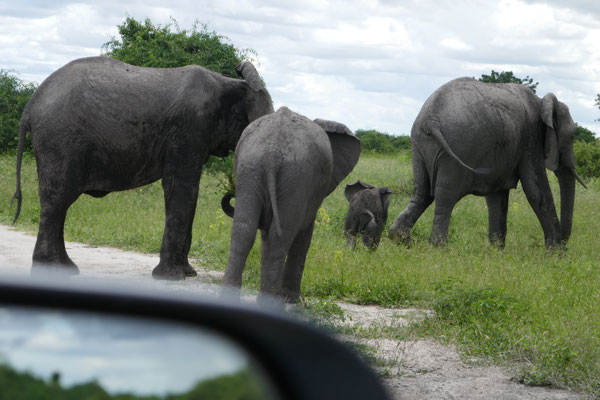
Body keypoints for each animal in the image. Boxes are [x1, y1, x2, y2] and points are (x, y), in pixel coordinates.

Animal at [12, 56, 274, 280]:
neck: (228, 83)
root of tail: (30, 106)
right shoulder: (189, 128)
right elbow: (181, 187)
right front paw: (173, 277)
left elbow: (190, 192)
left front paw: (188, 273)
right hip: (61, 140)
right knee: (58, 199)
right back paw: (55, 270)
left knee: (59, 203)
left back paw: (63, 269)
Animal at [221, 106, 358, 304]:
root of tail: (272, 150)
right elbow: (303, 236)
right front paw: (294, 300)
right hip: (297, 177)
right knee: (281, 237)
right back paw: (271, 303)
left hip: (250, 167)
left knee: (244, 230)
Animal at [390, 77, 584, 247]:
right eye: (572, 136)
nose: (565, 244)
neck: (542, 101)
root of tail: (431, 119)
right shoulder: (531, 138)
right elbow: (536, 191)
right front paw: (555, 254)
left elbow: (497, 196)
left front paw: (496, 252)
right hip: (458, 145)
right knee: (445, 195)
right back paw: (438, 247)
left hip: (419, 145)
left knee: (422, 193)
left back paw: (400, 239)